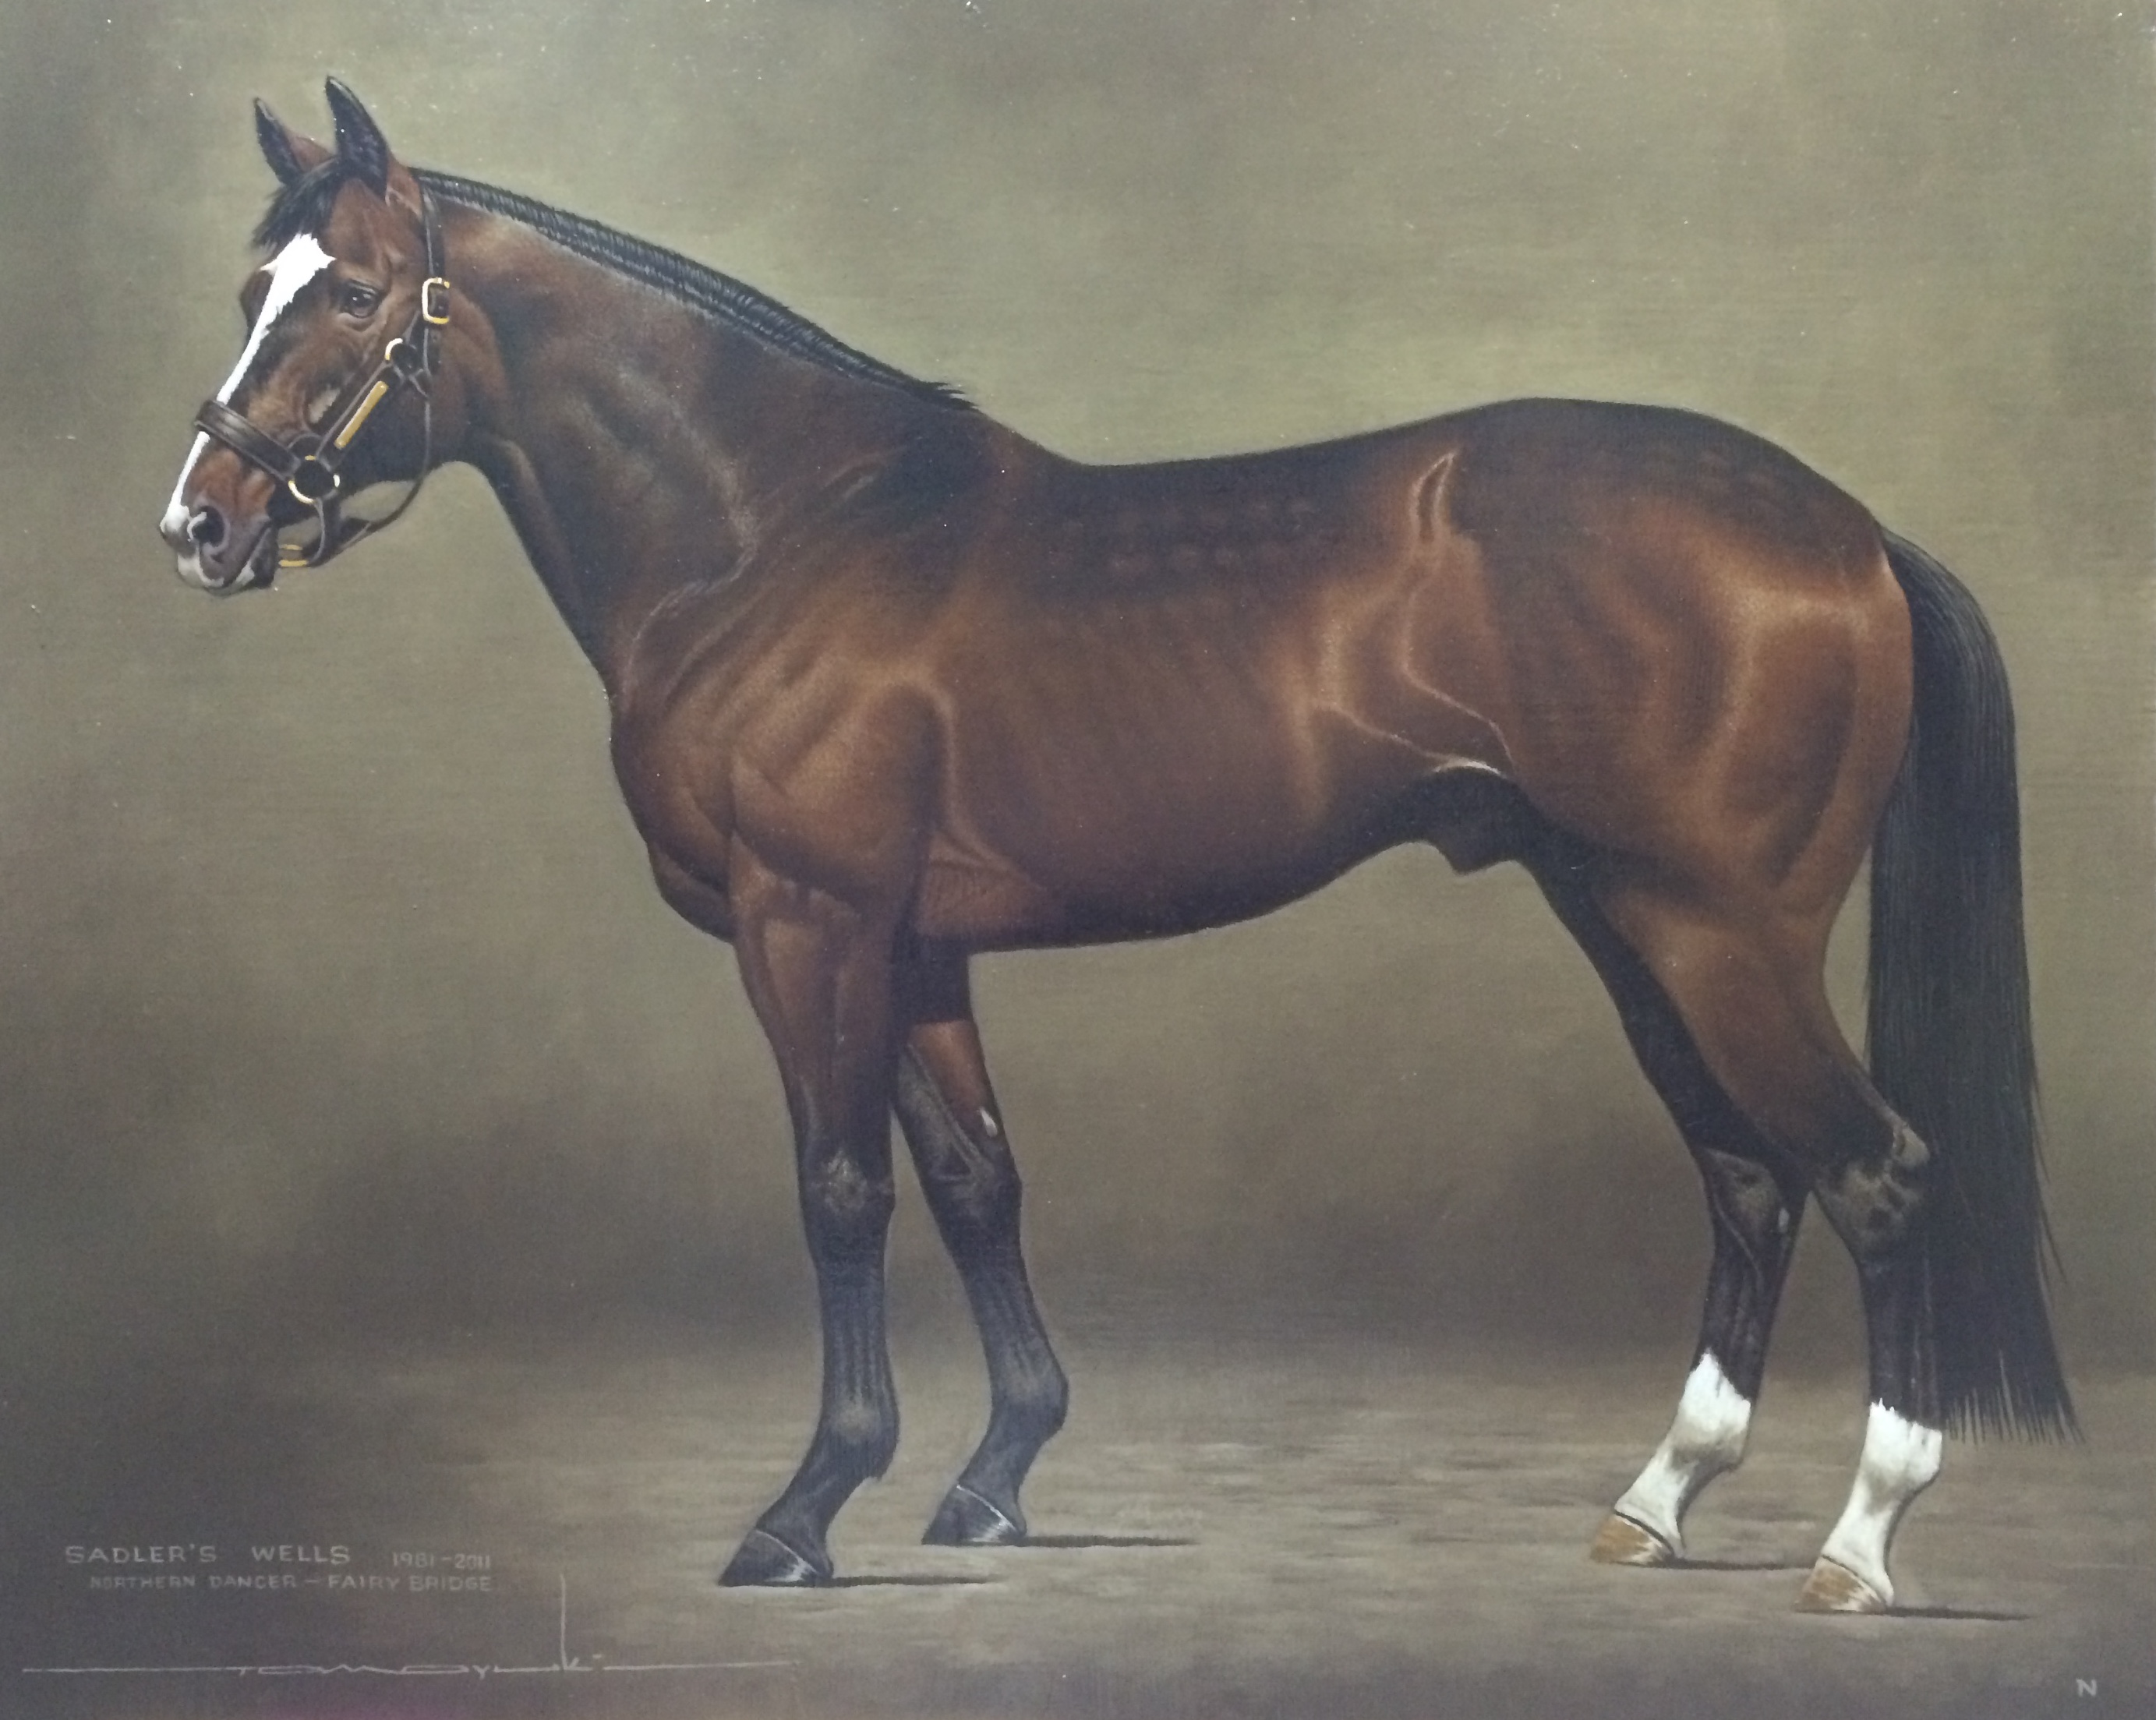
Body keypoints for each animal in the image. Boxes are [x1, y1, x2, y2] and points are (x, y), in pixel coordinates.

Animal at [160, 81, 2073, 1609]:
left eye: (345, 293)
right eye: (250, 291)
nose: (201, 521)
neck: (773, 534)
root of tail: (1849, 528)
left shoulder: (810, 925)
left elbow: (840, 1188)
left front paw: (804, 1507)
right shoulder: (918, 944)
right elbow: (976, 1182)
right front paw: (992, 1479)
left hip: (1719, 931)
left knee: (1875, 1171)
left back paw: (1859, 1542)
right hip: (1623, 919)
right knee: (1749, 1178)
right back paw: (1656, 1503)